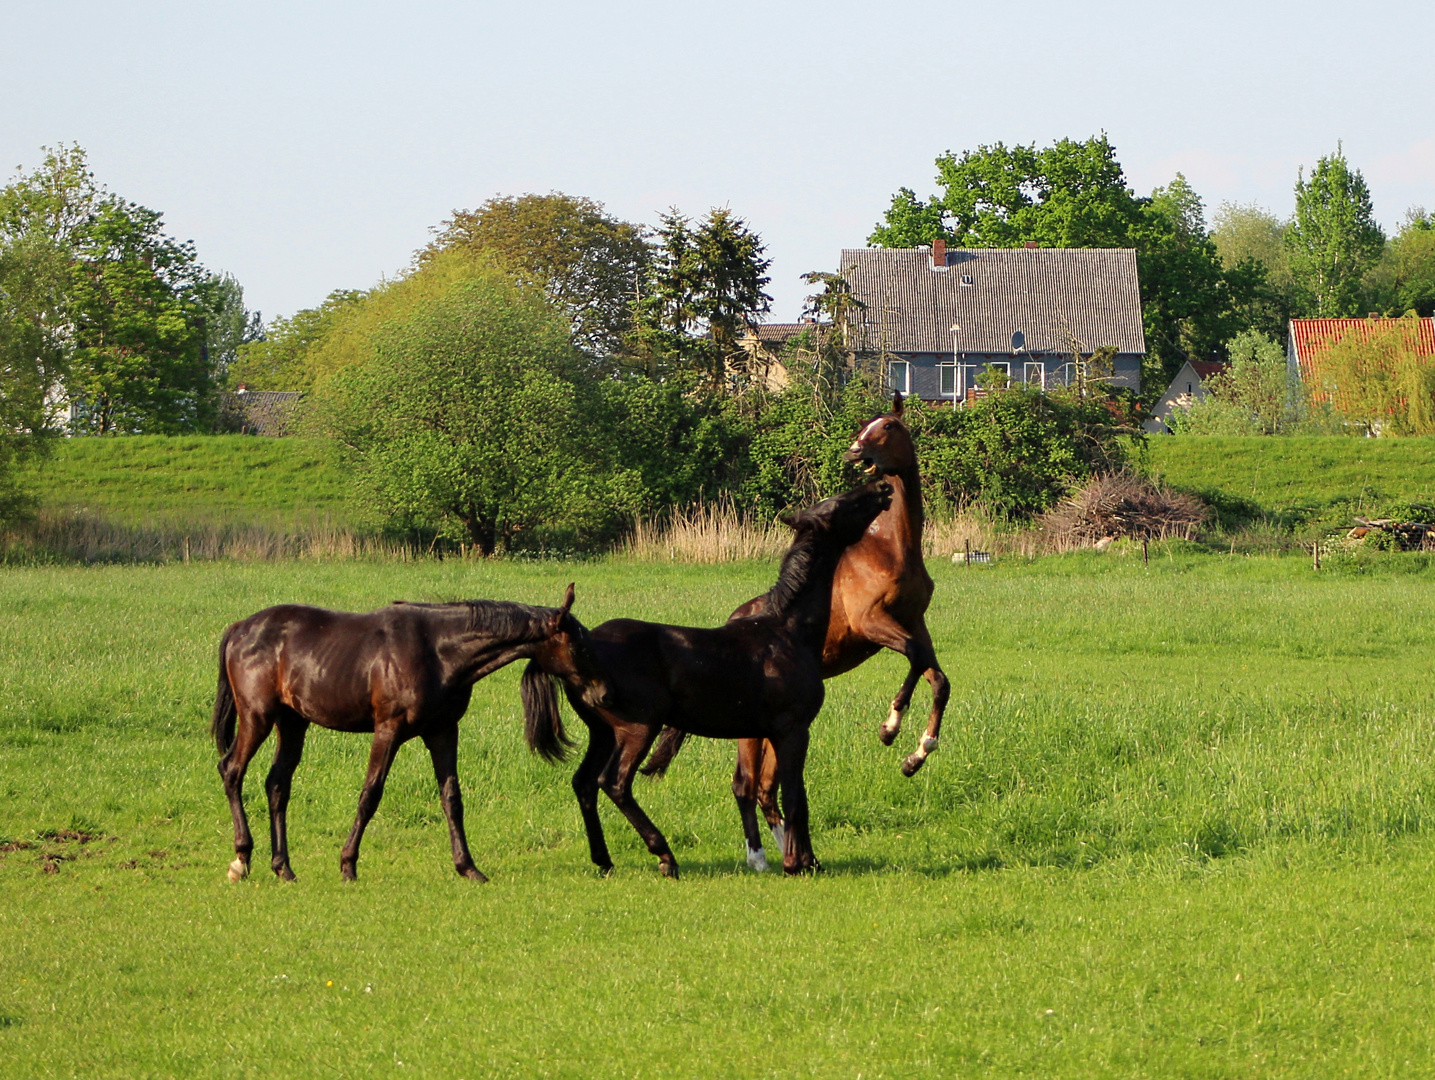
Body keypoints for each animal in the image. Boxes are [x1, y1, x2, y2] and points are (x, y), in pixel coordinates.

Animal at [210, 585, 605, 877]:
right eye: (579, 646)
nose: (601, 694)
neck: (437, 650)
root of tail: (240, 628)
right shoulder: (388, 730)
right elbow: (370, 794)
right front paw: (348, 865)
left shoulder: (443, 731)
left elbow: (451, 798)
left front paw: (468, 868)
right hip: (257, 717)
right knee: (232, 770)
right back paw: (241, 859)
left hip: (292, 722)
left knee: (277, 785)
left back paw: (283, 868)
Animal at [522, 479, 889, 877]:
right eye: (841, 504)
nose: (883, 487)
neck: (787, 630)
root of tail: (578, 644)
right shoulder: (792, 728)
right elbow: (794, 797)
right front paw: (797, 863)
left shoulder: (775, 731)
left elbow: (790, 795)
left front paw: (807, 860)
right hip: (637, 728)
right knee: (614, 783)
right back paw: (665, 857)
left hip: (602, 731)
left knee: (584, 783)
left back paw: (604, 861)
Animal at [645, 392, 947, 872]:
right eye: (863, 427)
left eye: (887, 428)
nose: (853, 454)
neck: (890, 547)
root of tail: (732, 620)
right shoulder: (873, 624)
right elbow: (917, 662)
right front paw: (890, 728)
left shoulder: (915, 623)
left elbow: (937, 678)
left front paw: (917, 754)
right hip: (752, 730)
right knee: (748, 784)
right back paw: (770, 855)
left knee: (766, 788)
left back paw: (787, 849)